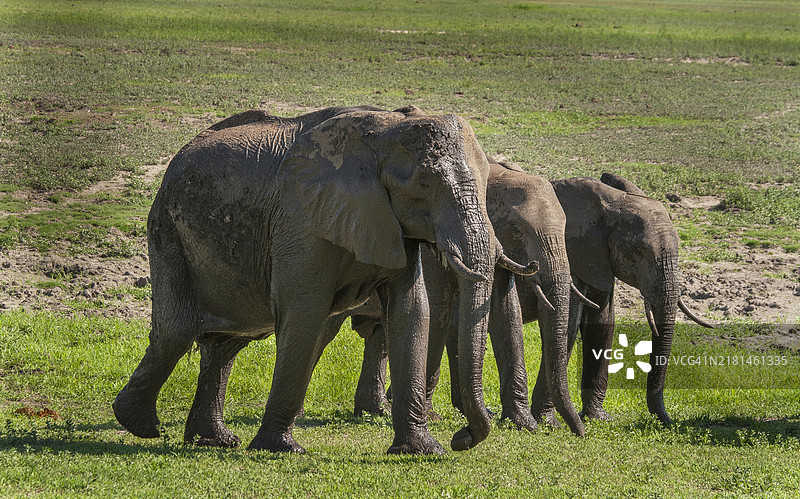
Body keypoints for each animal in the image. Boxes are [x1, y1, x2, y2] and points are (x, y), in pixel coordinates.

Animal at [109, 105, 532, 458]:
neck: (384, 129)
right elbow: (305, 313)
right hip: (168, 230)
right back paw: (141, 426)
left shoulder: (391, 224)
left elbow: (411, 313)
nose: (462, 438)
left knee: (227, 344)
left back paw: (214, 440)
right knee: (176, 333)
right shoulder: (300, 218)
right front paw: (282, 449)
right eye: (425, 185)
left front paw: (423, 452)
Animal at [354, 161, 592, 438]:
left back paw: (375, 410)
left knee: (378, 335)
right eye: (517, 231)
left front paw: (523, 423)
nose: (580, 434)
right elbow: (437, 307)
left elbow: (506, 311)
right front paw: (430, 417)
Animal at [532, 174, 712, 428]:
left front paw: (598, 418)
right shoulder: (573, 254)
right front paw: (547, 422)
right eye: (638, 252)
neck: (611, 205)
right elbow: (568, 326)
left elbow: (602, 322)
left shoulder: (599, 258)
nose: (668, 422)